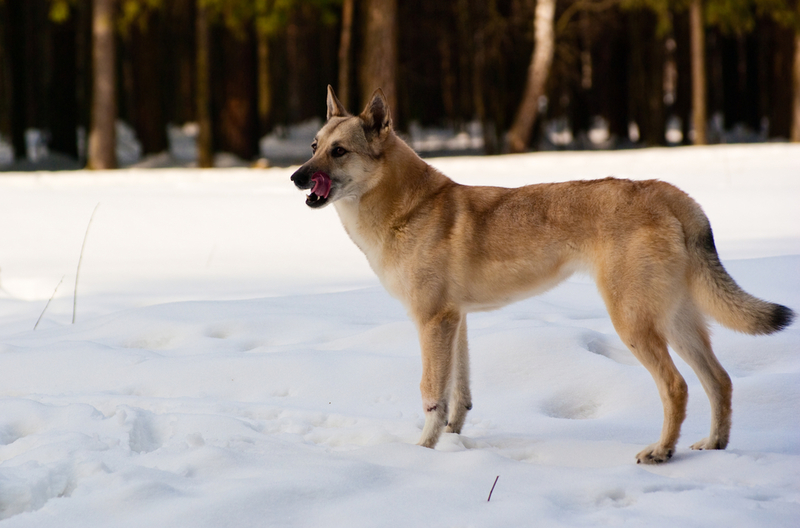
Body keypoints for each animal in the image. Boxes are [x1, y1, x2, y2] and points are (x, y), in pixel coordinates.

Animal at [290, 85, 792, 462]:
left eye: (339, 152)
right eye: (314, 147)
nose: (296, 177)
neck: (407, 210)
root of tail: (672, 194)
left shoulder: (432, 321)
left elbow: (432, 394)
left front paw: (421, 453)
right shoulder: (457, 320)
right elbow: (459, 397)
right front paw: (452, 446)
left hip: (635, 324)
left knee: (678, 386)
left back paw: (661, 452)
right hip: (677, 321)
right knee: (720, 381)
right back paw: (714, 446)